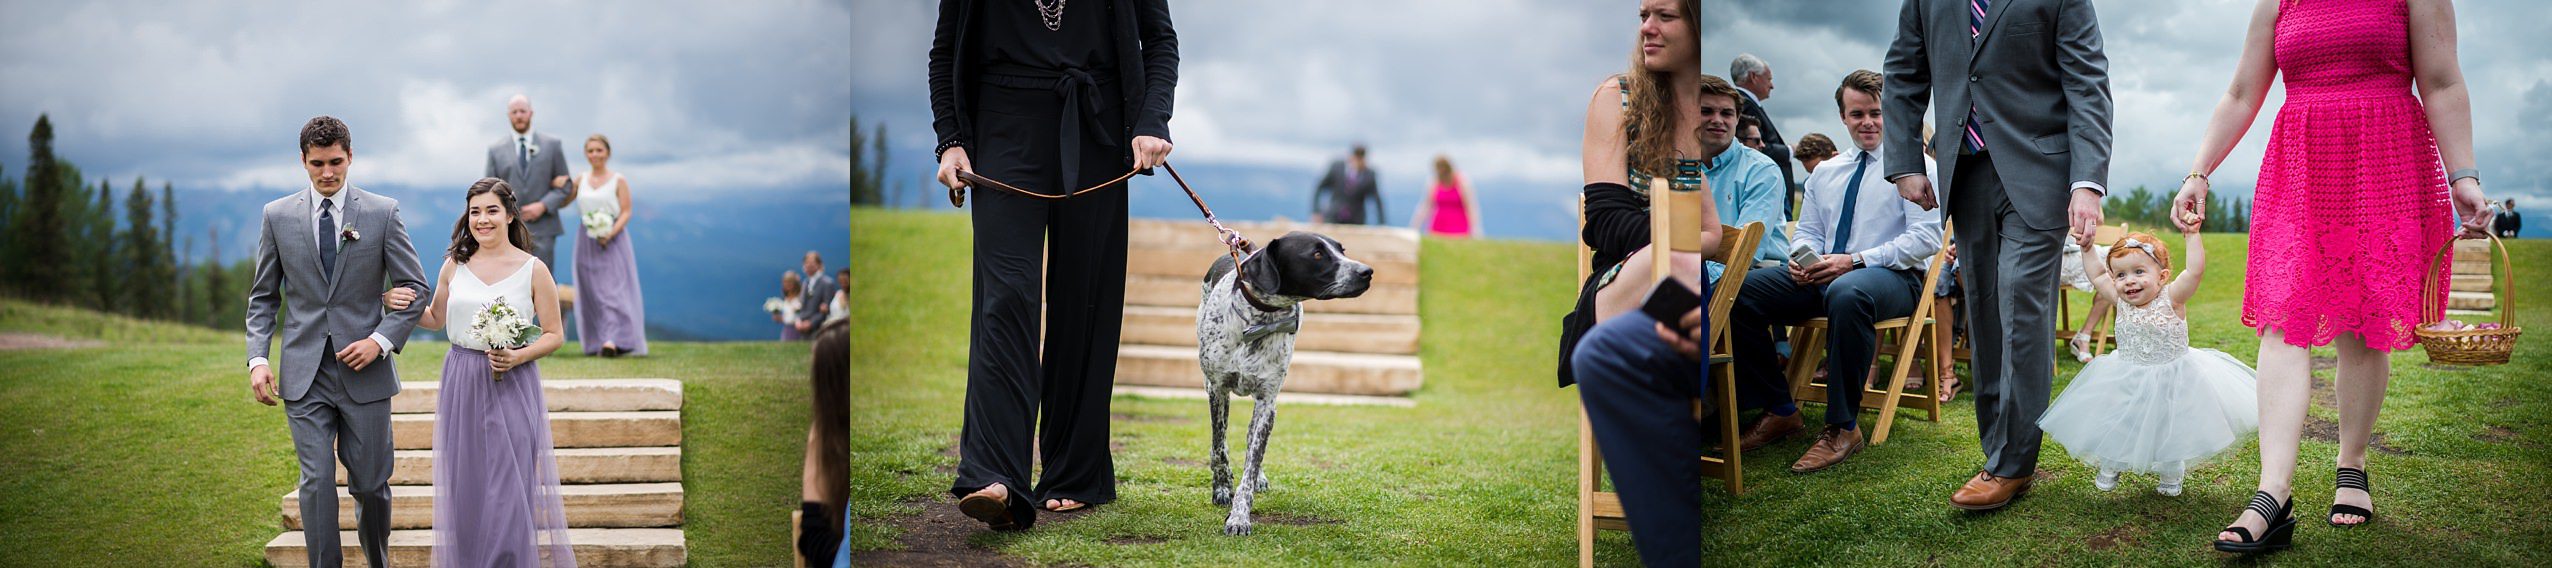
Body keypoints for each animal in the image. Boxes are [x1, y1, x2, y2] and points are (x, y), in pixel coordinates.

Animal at [1199, 229, 1378, 532]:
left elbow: (1252, 461)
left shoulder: (1267, 403)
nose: (1367, 271)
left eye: (1342, 250)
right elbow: (1219, 446)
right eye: (1317, 254)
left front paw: (1240, 515)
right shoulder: (1218, 390)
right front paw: (1222, 488)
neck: (1259, 320)